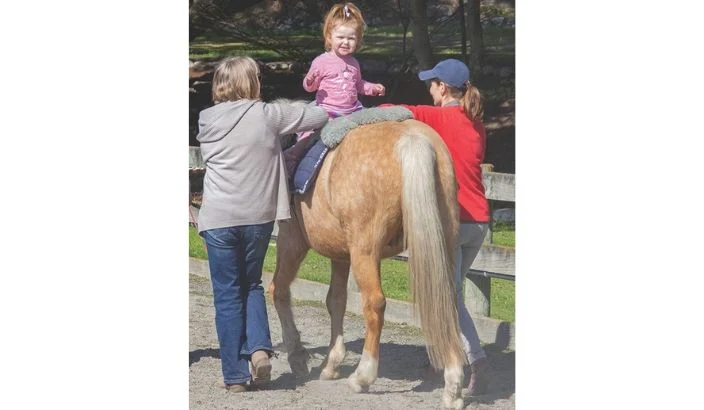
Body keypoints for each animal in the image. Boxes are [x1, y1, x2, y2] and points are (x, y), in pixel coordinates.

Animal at [268, 117, 468, 409]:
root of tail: (413, 139)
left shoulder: (291, 240)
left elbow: (278, 291)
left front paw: (297, 356)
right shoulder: (341, 255)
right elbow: (335, 301)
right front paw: (331, 363)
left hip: (365, 251)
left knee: (374, 304)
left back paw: (363, 376)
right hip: (443, 245)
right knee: (446, 301)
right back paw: (453, 387)